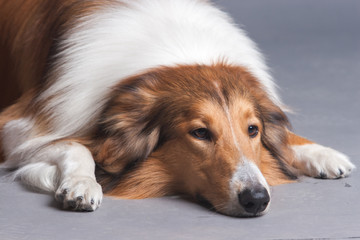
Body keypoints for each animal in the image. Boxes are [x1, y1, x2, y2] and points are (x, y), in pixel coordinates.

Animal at [0, 0, 354, 218]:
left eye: (253, 130)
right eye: (200, 132)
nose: (256, 199)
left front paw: (320, 153)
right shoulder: (17, 124)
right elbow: (75, 145)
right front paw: (82, 184)